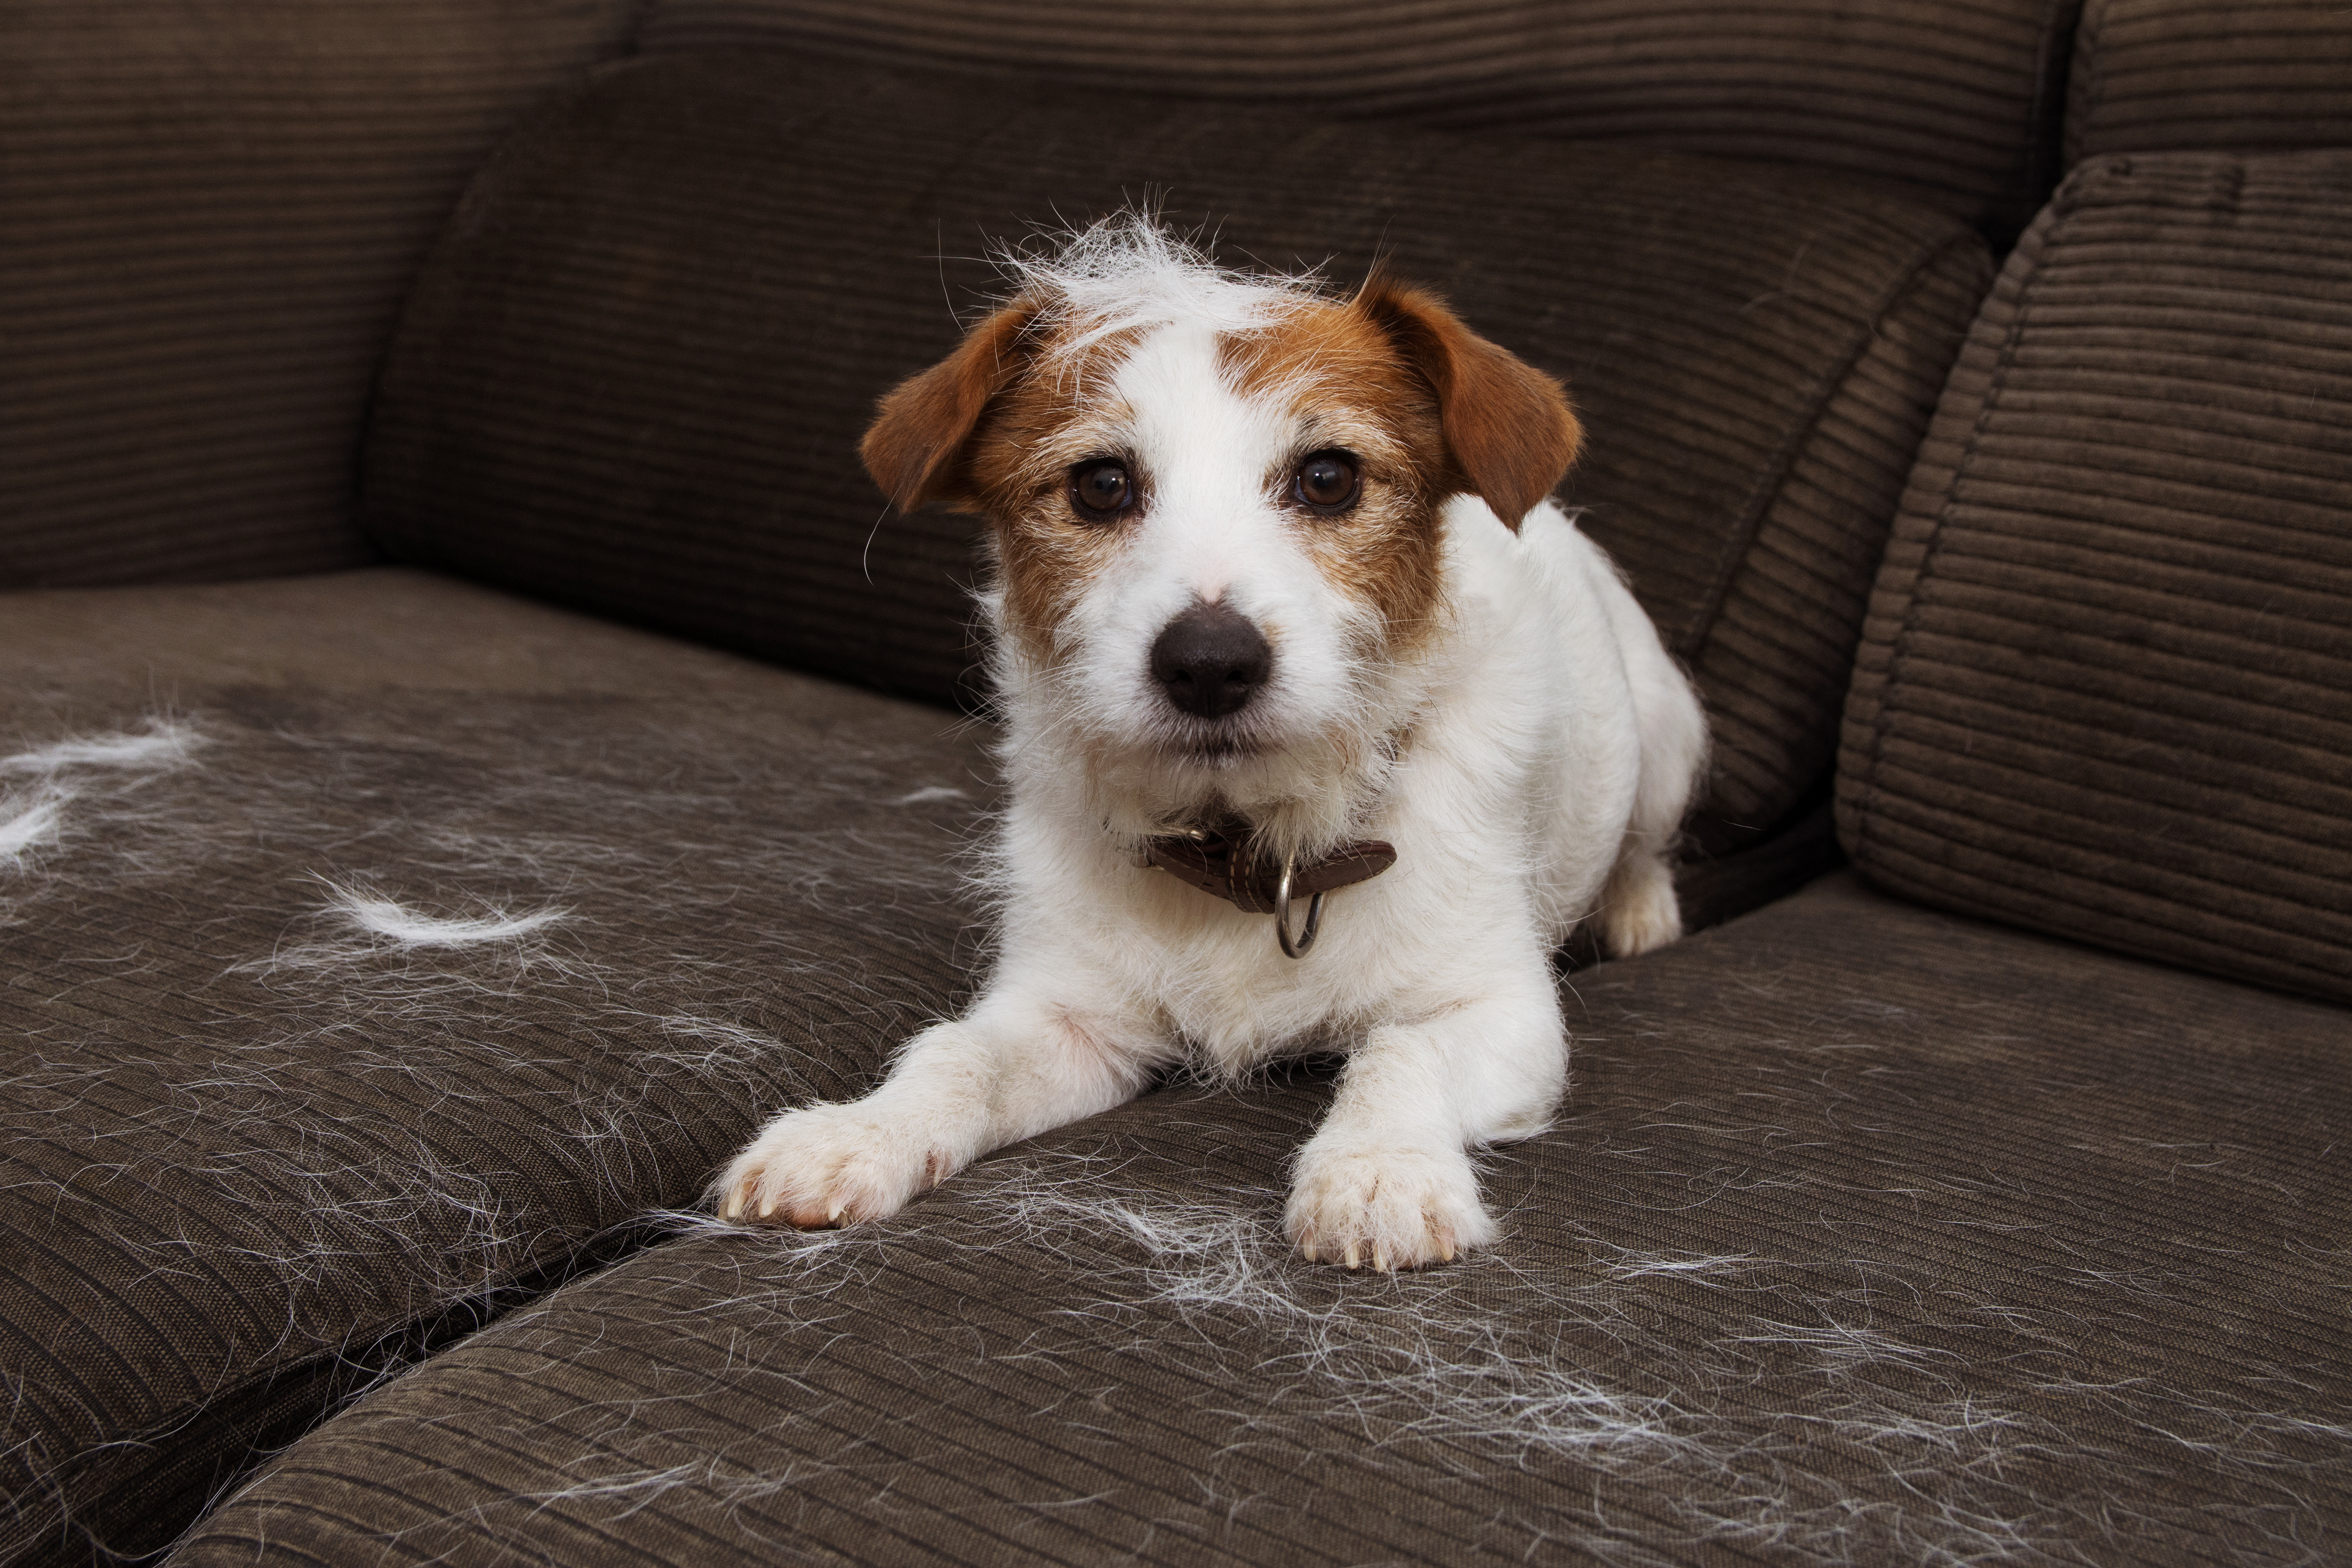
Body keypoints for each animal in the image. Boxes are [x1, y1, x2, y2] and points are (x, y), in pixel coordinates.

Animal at [715, 217, 1712, 1279]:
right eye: (1102, 484)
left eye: (1329, 477)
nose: (1208, 663)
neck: (1248, 843)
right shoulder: (1069, 1018)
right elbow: (957, 1053)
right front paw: (857, 1133)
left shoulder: (1498, 1012)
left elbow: (1402, 1053)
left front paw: (1379, 1170)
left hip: (1666, 733)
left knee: (1647, 839)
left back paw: (1640, 910)